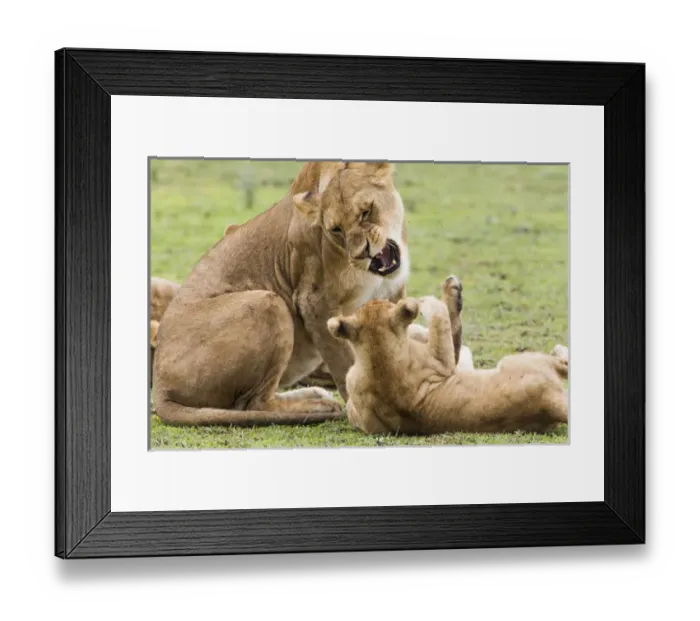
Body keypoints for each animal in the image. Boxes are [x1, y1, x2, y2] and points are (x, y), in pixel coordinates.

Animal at [152, 161, 412, 426]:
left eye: (366, 212)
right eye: (336, 229)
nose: (362, 253)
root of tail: (160, 388)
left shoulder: (393, 294)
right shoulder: (314, 301)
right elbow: (345, 364)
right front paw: (362, 413)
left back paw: (316, 395)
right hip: (268, 302)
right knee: (255, 403)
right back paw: (317, 406)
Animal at [327, 275, 569, 435]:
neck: (378, 357)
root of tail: (549, 404)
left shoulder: (358, 409)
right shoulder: (443, 361)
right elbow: (442, 322)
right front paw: (429, 301)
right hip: (522, 360)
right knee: (564, 363)